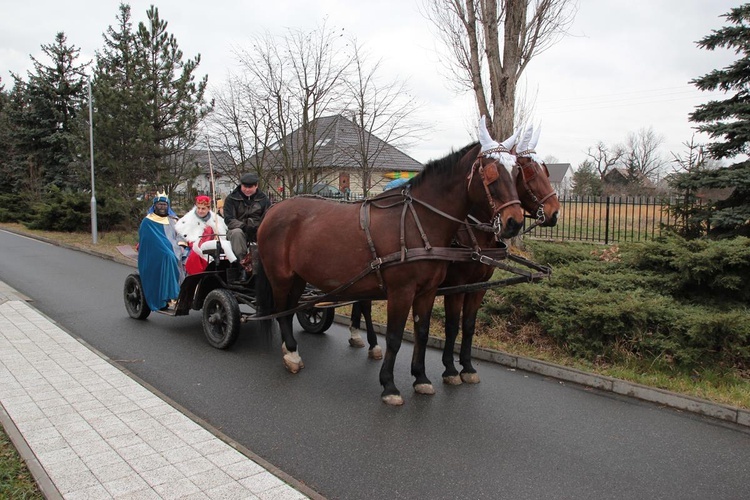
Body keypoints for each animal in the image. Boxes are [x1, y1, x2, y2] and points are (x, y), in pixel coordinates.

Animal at [256, 125, 524, 406]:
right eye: (491, 172)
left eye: (517, 172)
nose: (514, 222)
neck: (419, 222)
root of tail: (274, 210)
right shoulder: (401, 291)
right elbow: (395, 337)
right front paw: (389, 385)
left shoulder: (428, 291)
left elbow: (422, 331)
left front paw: (421, 378)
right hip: (280, 278)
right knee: (280, 311)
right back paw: (292, 355)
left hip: (297, 278)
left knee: (289, 310)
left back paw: (290, 348)